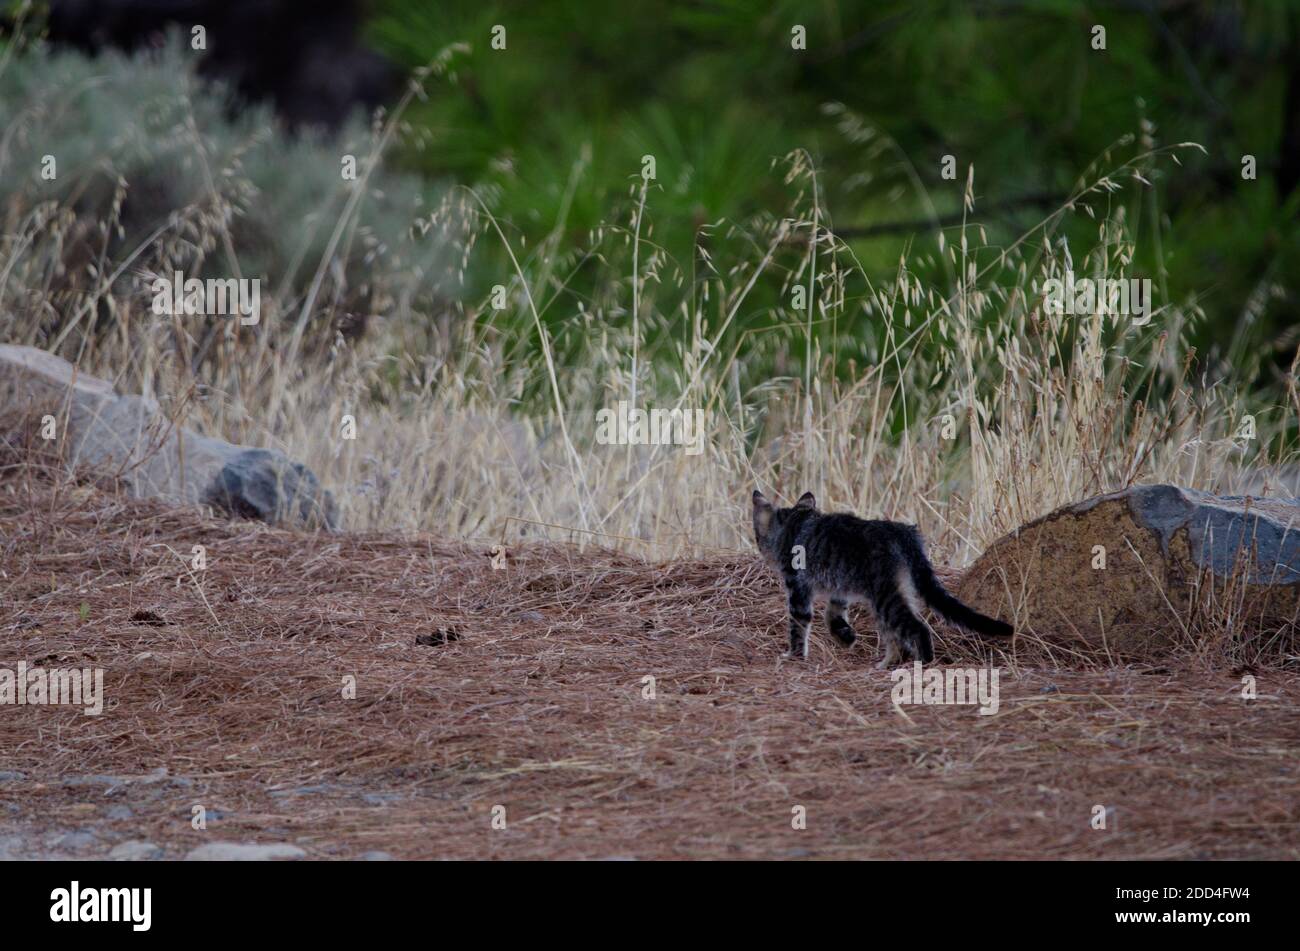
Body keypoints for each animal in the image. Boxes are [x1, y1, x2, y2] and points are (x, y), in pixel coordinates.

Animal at [754, 491, 1013, 670]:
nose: (760, 548)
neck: (795, 521)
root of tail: (901, 531)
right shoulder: (839, 590)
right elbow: (833, 614)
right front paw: (845, 637)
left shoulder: (797, 588)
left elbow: (798, 625)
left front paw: (794, 656)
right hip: (893, 592)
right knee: (897, 638)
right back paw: (889, 663)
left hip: (884, 596)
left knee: (917, 629)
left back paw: (921, 663)